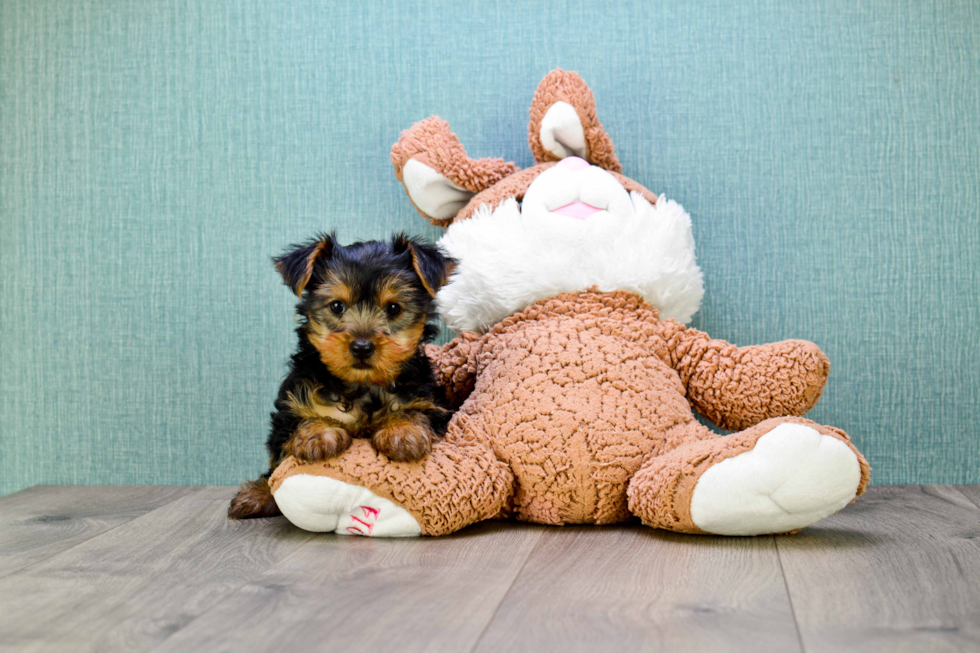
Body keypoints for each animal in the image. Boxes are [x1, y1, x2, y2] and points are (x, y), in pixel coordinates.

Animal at [230, 232, 456, 516]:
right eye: (337, 306)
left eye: (393, 308)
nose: (362, 346)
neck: (363, 385)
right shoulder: (290, 407)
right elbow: (296, 428)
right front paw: (318, 434)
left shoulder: (428, 398)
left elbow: (414, 411)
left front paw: (403, 433)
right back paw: (258, 494)